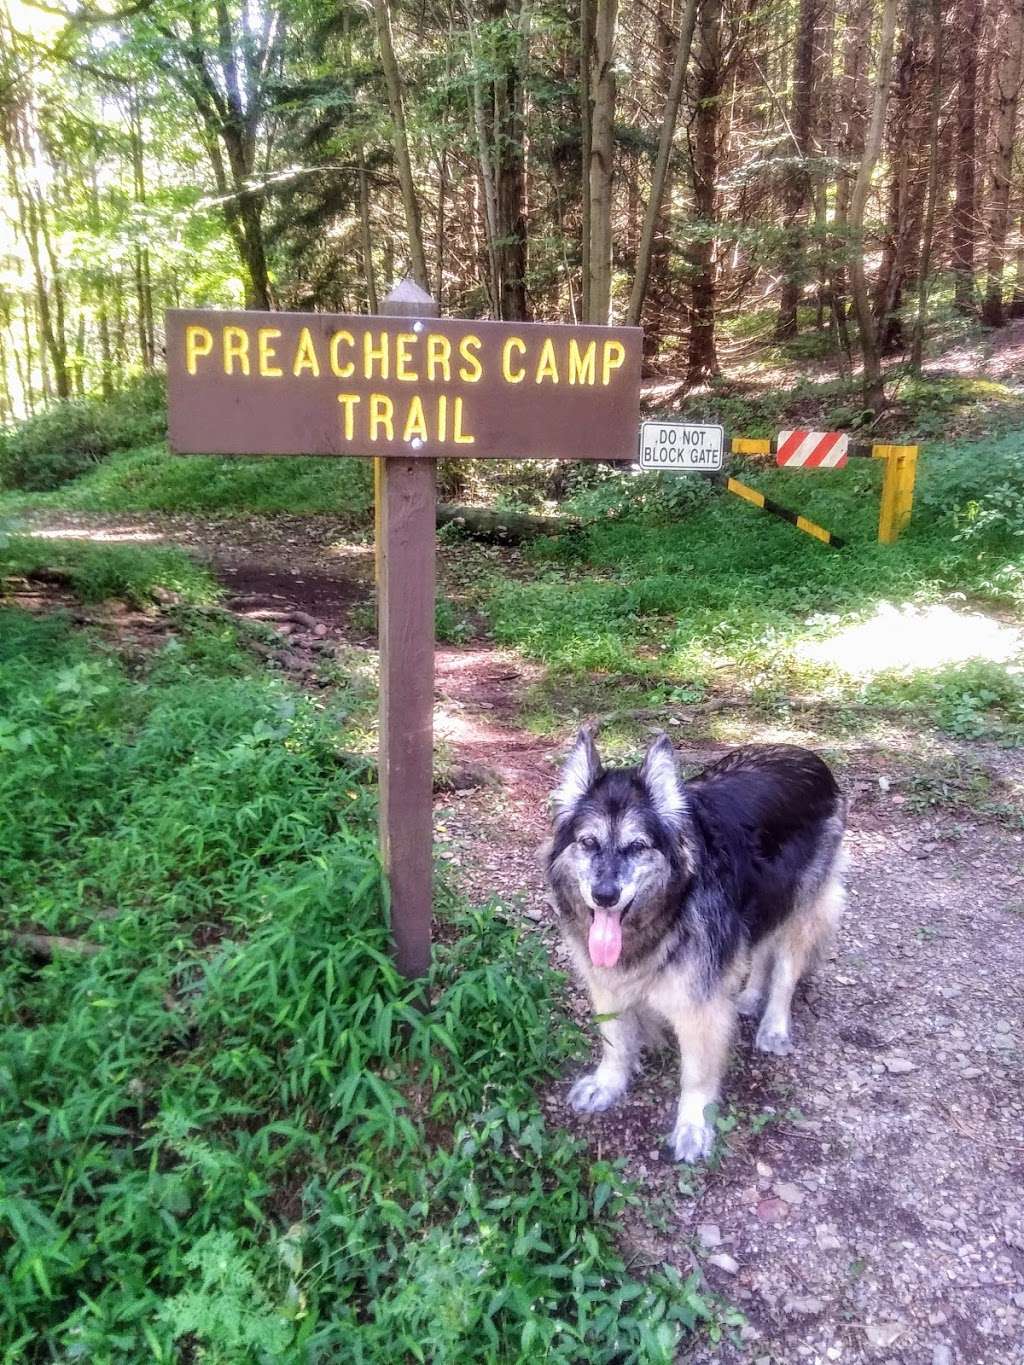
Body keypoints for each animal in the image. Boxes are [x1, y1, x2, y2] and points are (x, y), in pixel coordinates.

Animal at [548, 737, 846, 1162]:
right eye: (588, 843)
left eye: (637, 846)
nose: (605, 896)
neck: (669, 908)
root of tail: (803, 753)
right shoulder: (608, 983)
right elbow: (616, 1042)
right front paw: (607, 1084)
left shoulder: (700, 1007)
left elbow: (697, 1075)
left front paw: (693, 1126)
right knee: (760, 952)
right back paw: (750, 997)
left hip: (798, 907)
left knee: (786, 971)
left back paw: (773, 1025)